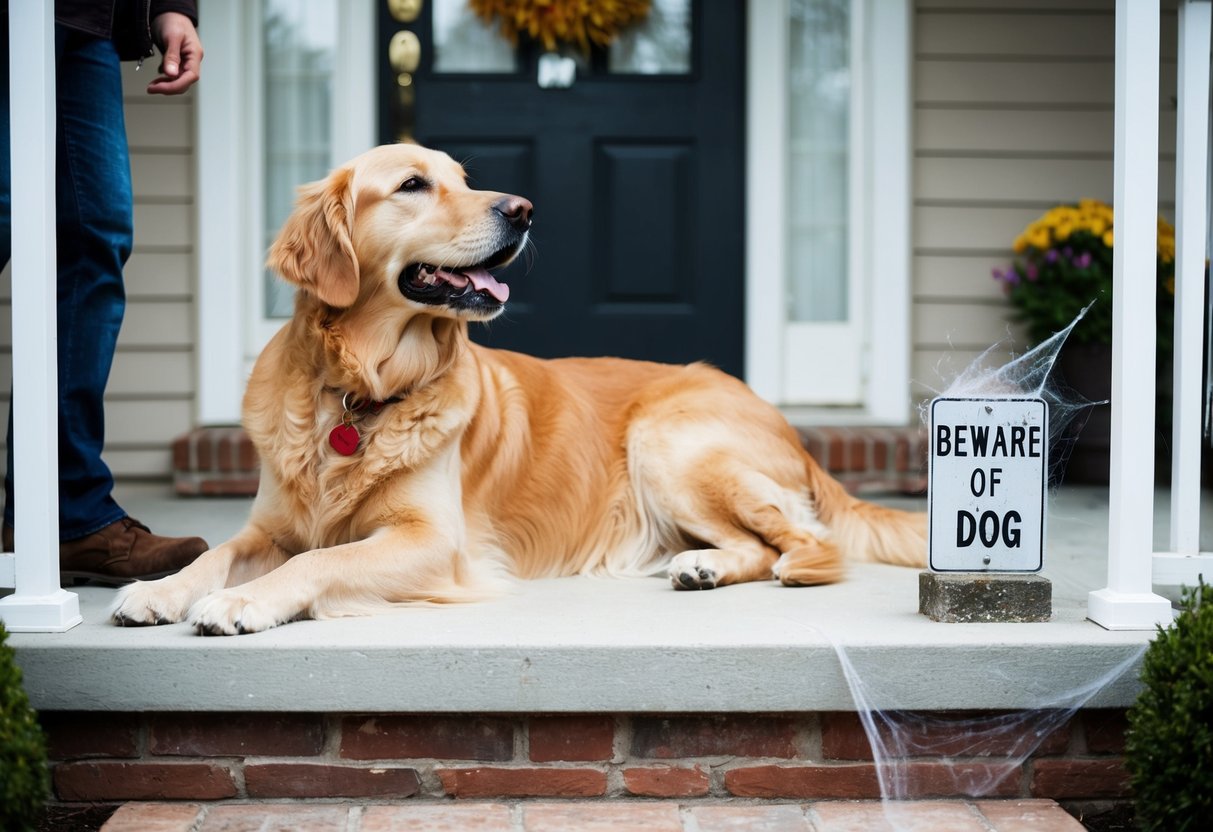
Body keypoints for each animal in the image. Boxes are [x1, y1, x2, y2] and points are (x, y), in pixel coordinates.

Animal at [114, 144, 926, 640]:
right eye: (413, 185)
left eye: (463, 178)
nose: (523, 210)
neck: (357, 390)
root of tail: (782, 420)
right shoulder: (271, 526)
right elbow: (220, 552)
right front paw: (163, 589)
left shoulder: (432, 542)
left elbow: (316, 564)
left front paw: (243, 602)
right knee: (754, 544)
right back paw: (701, 565)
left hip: (668, 441)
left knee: (807, 545)